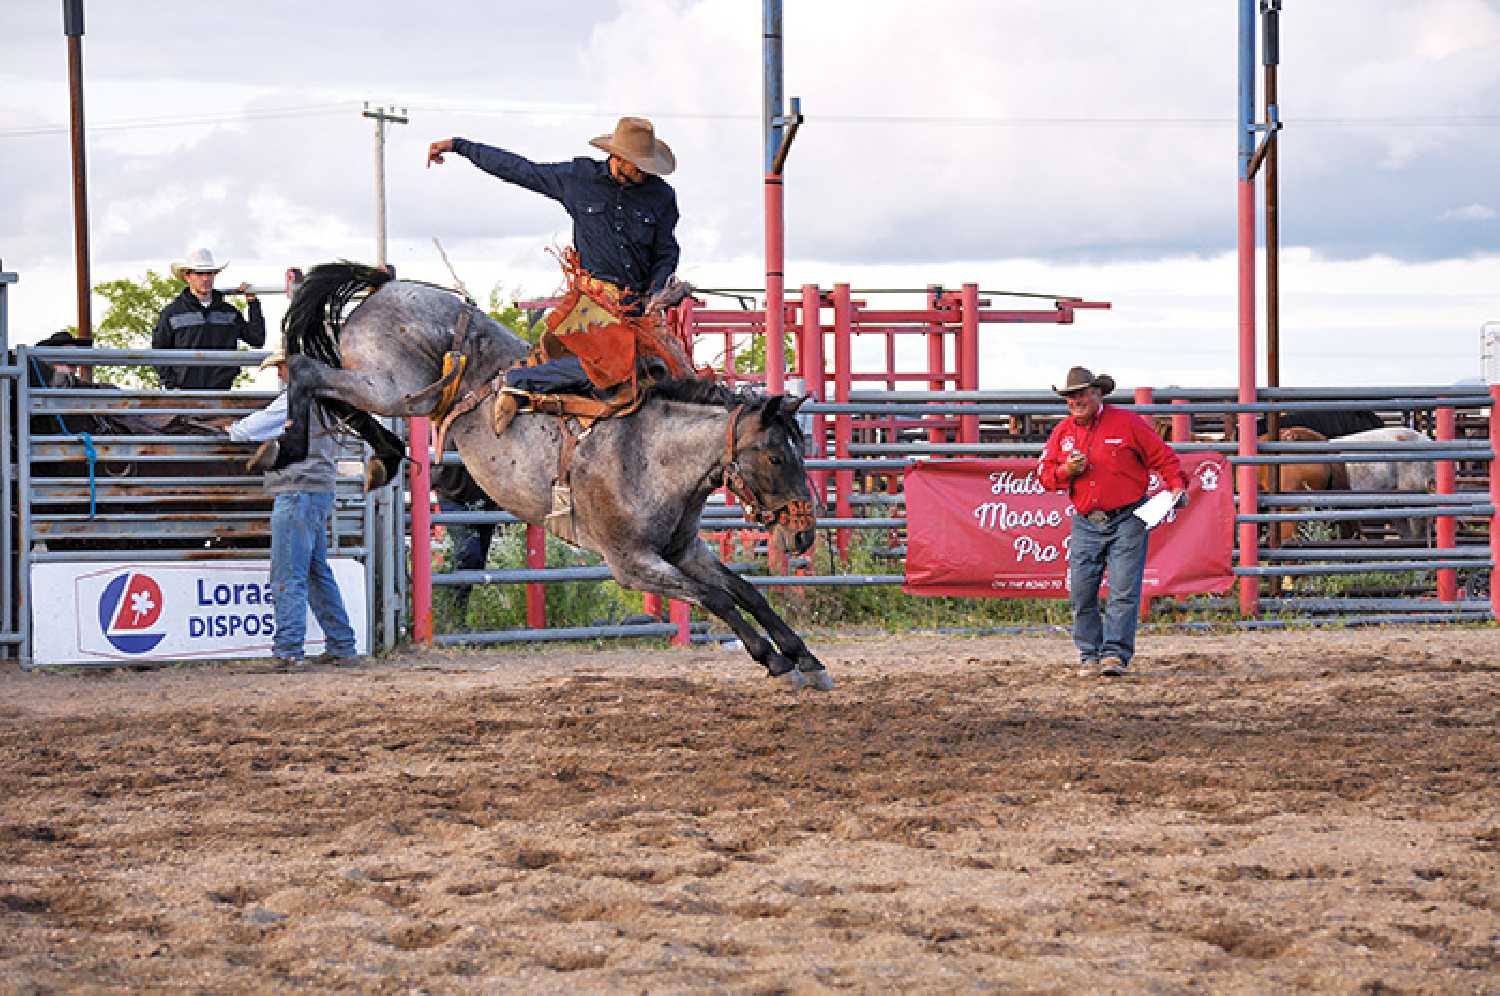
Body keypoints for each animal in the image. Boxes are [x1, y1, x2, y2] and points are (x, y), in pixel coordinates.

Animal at [255, 261, 834, 690]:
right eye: (777, 457)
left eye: (803, 450)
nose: (804, 534)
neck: (650, 452)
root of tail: (385, 286)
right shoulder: (631, 563)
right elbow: (715, 598)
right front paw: (774, 660)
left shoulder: (682, 549)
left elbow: (746, 591)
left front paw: (806, 658)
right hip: (393, 387)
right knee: (307, 372)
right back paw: (285, 448)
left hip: (391, 391)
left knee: (327, 387)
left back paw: (383, 454)